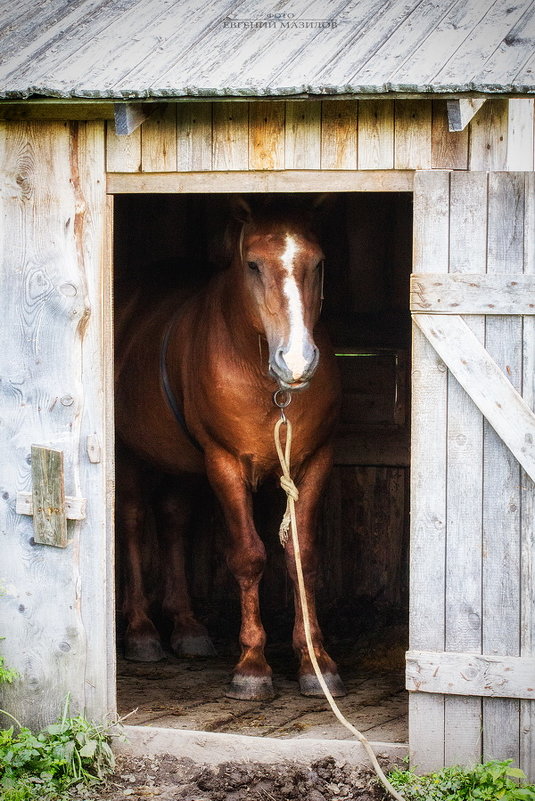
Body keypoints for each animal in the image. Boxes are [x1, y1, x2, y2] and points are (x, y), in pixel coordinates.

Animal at [114, 195, 346, 700]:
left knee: (174, 520)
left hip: (183, 464)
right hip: (132, 457)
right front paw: (253, 667)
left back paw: (187, 628)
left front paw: (315, 662)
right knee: (135, 521)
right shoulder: (224, 464)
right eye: (254, 264)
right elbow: (249, 556)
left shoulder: (315, 461)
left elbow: (302, 557)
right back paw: (142, 633)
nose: (296, 361)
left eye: (317, 263)